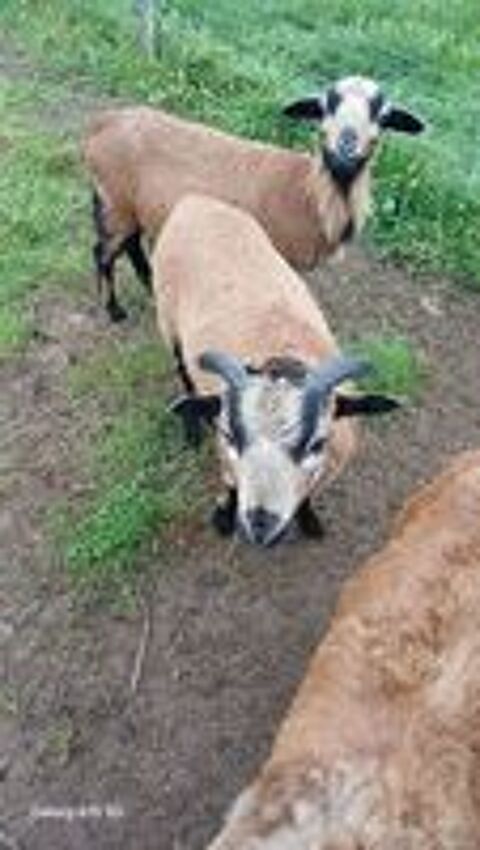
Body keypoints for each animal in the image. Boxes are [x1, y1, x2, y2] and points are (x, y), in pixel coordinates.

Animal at [84, 75, 424, 321]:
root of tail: (102, 123)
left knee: (131, 245)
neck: (308, 190)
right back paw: (114, 311)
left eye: (381, 114)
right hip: (115, 200)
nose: (345, 149)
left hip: (130, 207)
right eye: (326, 105)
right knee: (103, 253)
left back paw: (150, 285)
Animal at [153, 194, 399, 546]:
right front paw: (224, 518)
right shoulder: (227, 458)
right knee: (183, 374)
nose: (260, 524)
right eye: (231, 435)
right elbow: (230, 487)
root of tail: (195, 200)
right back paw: (192, 429)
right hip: (167, 321)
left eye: (317, 443)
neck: (282, 350)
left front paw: (310, 521)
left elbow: (307, 498)